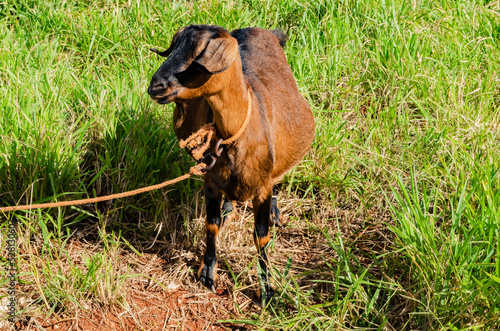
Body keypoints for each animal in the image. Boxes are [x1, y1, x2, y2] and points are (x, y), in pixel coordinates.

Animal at [146, 24, 314, 302]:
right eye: (175, 47)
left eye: (199, 57)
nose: (155, 86)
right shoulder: (211, 181)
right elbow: (211, 225)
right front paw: (207, 273)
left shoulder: (262, 188)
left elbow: (261, 236)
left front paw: (267, 289)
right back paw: (228, 209)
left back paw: (275, 212)